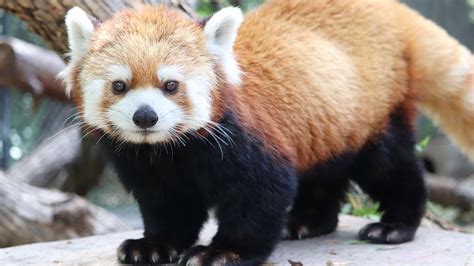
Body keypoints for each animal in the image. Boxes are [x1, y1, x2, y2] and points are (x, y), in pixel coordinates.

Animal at [61, 1, 472, 264]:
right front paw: (154, 246)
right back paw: (307, 222)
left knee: (389, 166)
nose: (145, 117)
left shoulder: (243, 138)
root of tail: (392, 12)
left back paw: (394, 226)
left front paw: (221, 252)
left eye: (170, 85)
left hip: (374, 109)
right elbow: (167, 204)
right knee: (323, 174)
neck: (170, 150)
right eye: (119, 85)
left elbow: (260, 194)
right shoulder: (146, 163)